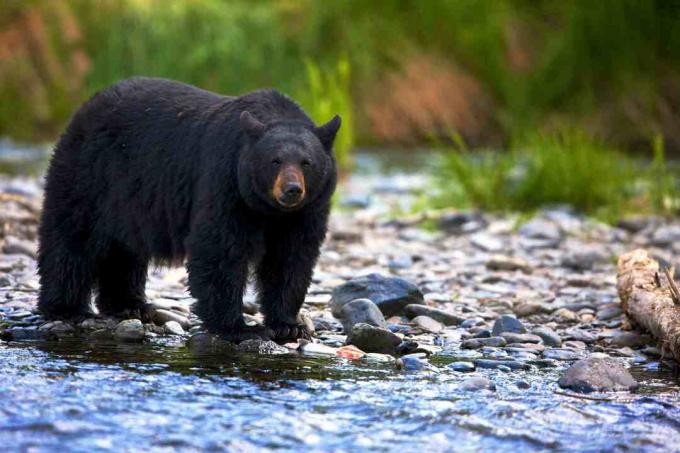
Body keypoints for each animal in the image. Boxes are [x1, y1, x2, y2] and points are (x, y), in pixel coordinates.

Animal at [37, 77, 340, 342]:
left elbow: (291, 258)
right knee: (72, 239)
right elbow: (220, 249)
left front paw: (288, 325)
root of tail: (87, 105)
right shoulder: (225, 182)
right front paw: (239, 328)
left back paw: (130, 305)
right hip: (90, 174)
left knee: (123, 250)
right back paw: (66, 308)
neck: (268, 209)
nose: (292, 190)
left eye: (306, 162)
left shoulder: (306, 211)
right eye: (274, 161)